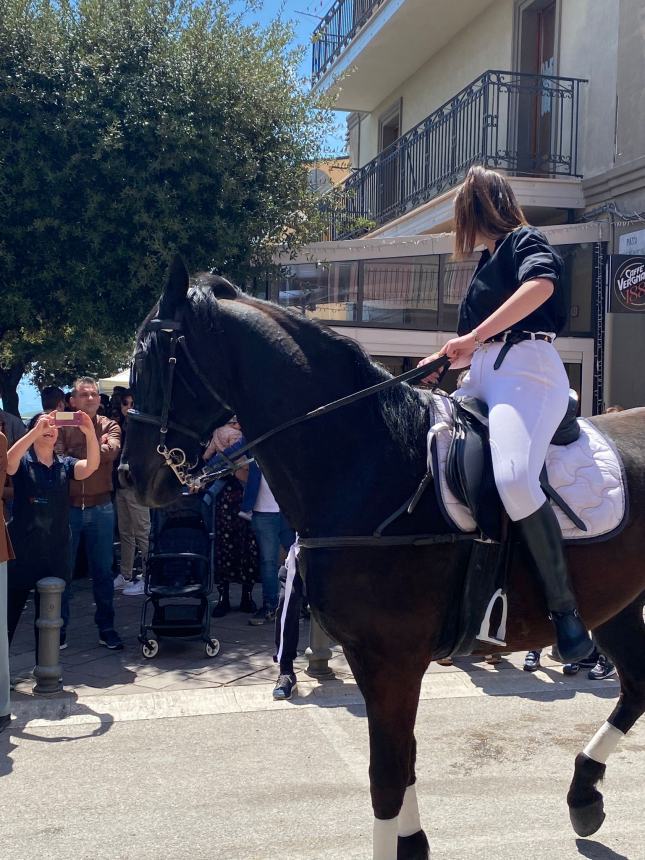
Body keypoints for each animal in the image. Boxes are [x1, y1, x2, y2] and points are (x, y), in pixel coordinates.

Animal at [124, 258, 644, 860]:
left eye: (155, 358)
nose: (132, 477)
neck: (370, 461)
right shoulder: (374, 658)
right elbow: (403, 761)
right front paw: (413, 843)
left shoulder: (392, 658)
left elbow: (387, 777)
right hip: (617, 605)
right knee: (637, 686)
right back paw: (585, 794)